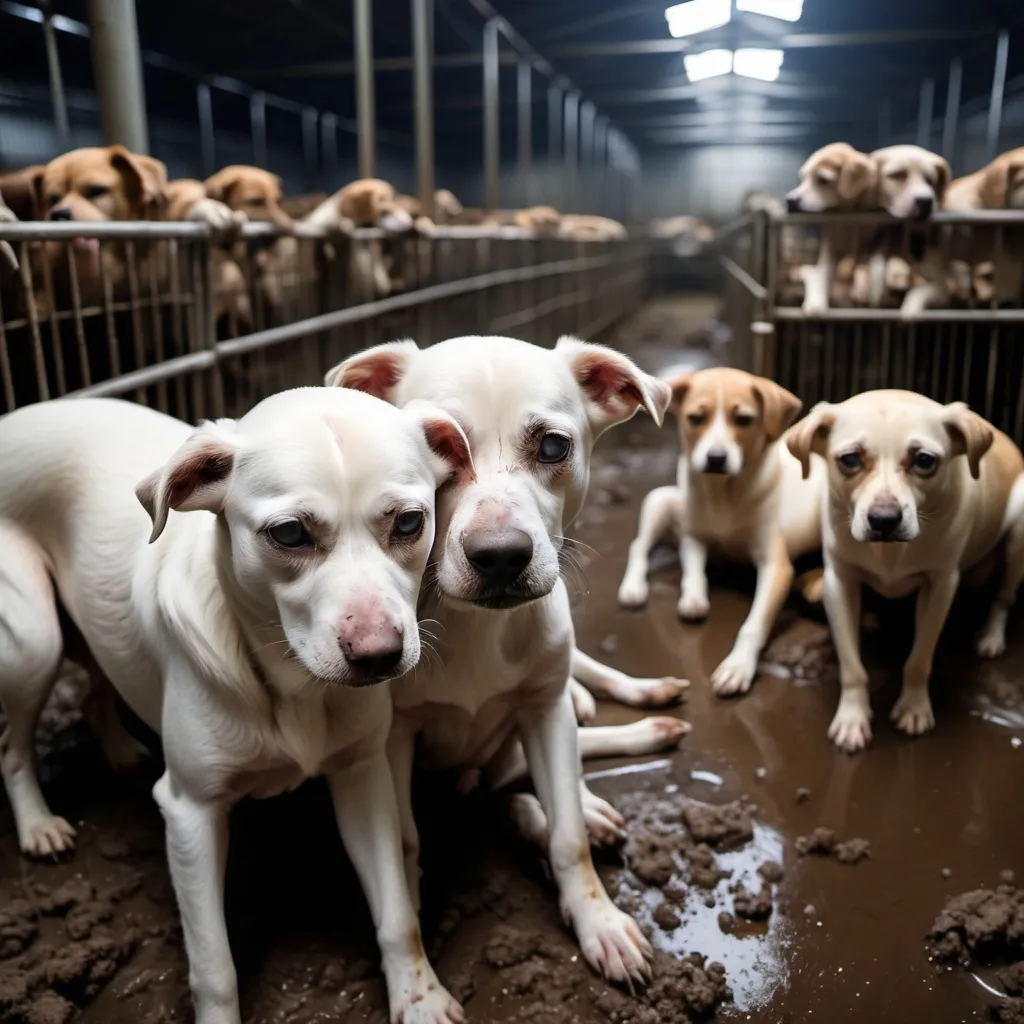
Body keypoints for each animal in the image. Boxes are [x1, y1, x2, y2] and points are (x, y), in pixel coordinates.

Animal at [0, 391, 471, 1024]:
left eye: (410, 522)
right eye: (290, 534)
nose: (379, 655)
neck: (294, 685)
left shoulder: (362, 775)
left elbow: (398, 915)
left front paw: (420, 997)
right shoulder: (189, 813)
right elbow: (214, 968)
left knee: (100, 676)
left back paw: (118, 749)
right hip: (34, 639)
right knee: (14, 745)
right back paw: (38, 824)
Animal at [327, 337, 679, 991]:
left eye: (552, 447)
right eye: (438, 452)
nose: (500, 557)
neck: (476, 628)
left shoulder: (543, 711)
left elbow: (568, 840)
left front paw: (600, 922)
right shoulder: (392, 743)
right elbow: (405, 843)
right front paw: (411, 923)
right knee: (510, 801)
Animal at [782, 142, 880, 313]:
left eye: (823, 179)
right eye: (803, 178)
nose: (790, 200)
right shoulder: (830, 246)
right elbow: (824, 273)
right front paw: (817, 301)